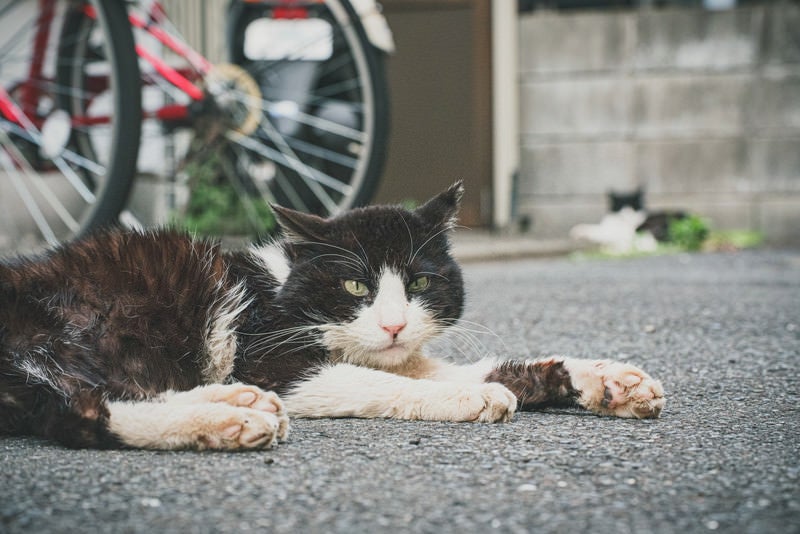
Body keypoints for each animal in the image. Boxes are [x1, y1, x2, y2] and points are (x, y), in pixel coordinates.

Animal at [0, 184, 664, 452]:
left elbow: (488, 369)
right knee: (75, 410)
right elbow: (375, 382)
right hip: (58, 332)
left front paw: (610, 380)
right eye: (354, 285)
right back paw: (227, 420)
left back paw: (231, 401)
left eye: (419, 283)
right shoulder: (270, 355)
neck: (287, 289)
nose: (394, 325)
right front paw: (465, 399)